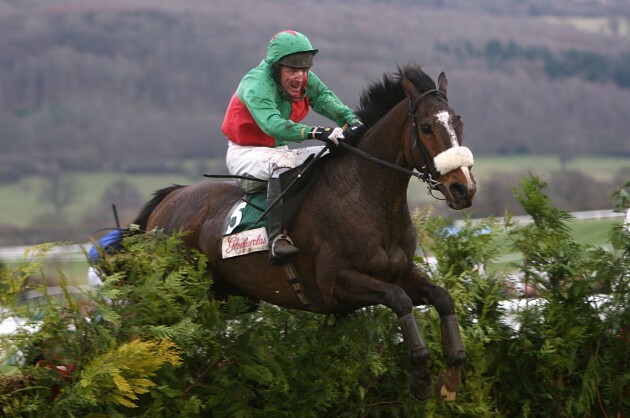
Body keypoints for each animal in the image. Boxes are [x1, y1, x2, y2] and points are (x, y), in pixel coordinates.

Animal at [133, 63, 478, 400]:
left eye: (458, 122)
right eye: (426, 127)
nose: (463, 189)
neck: (368, 197)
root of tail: (170, 197)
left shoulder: (400, 272)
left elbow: (442, 297)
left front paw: (452, 375)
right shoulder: (335, 283)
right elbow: (399, 300)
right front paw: (420, 376)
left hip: (225, 294)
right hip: (178, 292)